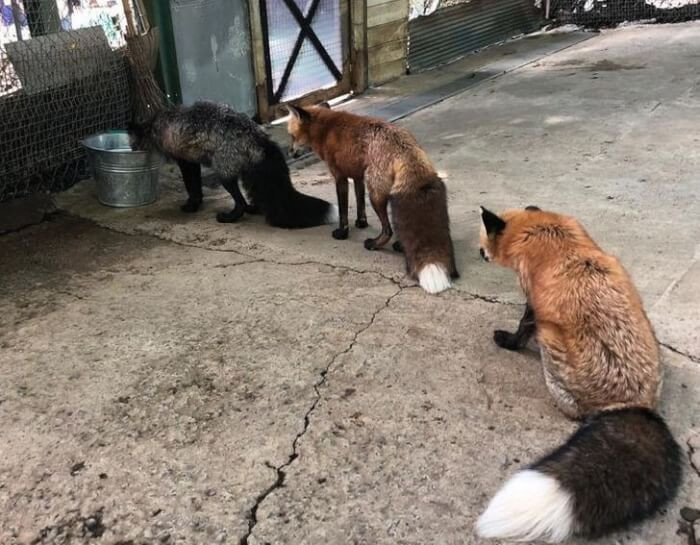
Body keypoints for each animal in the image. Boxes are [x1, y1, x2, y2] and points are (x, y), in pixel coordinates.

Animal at [129, 101, 337, 228]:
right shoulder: (192, 162)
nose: (130, 149)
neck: (157, 124)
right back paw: (255, 209)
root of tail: (259, 138)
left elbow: (192, 188)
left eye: (132, 139)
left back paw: (230, 217)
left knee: (241, 203)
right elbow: (196, 187)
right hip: (247, 175)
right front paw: (196, 203)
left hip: (225, 175)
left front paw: (191, 206)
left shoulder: (185, 162)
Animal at [285, 103, 458, 294]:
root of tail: (405, 146)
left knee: (388, 230)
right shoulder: (357, 176)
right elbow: (359, 203)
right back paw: (400, 245)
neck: (325, 129)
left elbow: (343, 211)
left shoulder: (340, 177)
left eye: (292, 136)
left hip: (375, 194)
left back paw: (374, 244)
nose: (290, 154)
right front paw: (361, 223)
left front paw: (342, 233)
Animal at [475, 205, 682, 543]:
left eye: (483, 238)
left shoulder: (533, 305)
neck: (542, 229)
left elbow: (522, 328)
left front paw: (508, 342)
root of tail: (635, 404)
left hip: (549, 339)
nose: (479, 252)